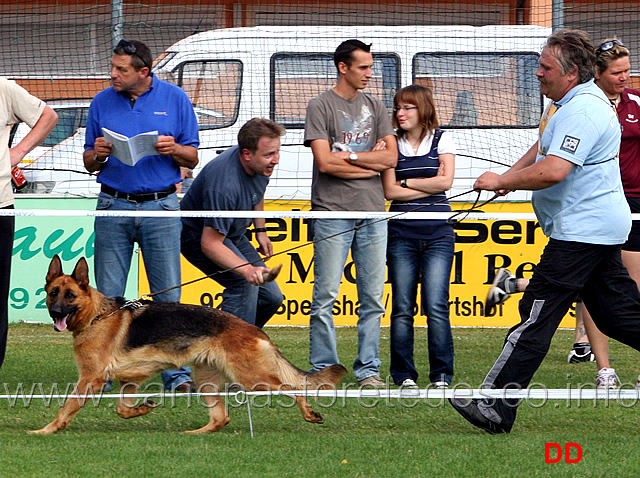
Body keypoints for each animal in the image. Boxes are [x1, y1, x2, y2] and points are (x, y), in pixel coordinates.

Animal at [31, 256, 344, 436]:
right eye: (52, 293)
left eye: (70, 296)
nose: (55, 314)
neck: (98, 315)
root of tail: (251, 327)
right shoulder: (129, 381)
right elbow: (122, 409)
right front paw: (143, 409)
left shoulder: (89, 379)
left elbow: (67, 407)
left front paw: (46, 430)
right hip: (206, 381)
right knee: (221, 418)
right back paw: (195, 433)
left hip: (252, 378)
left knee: (293, 388)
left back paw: (309, 414)